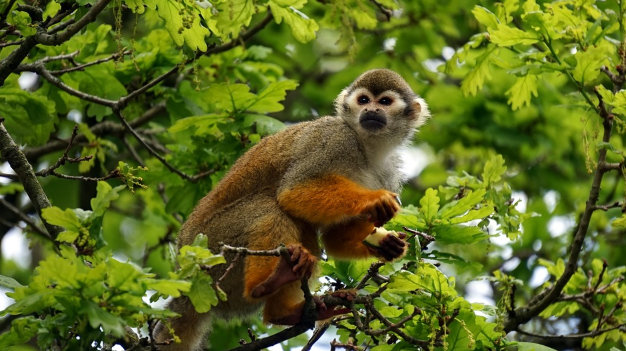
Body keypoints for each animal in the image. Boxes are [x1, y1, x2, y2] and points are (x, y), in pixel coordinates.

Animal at [156, 69, 428, 350]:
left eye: (384, 102)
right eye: (363, 100)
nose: (371, 110)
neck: (368, 148)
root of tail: (188, 279)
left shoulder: (390, 172)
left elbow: (334, 238)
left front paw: (386, 245)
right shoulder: (334, 138)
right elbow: (293, 191)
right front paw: (374, 200)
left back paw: (285, 311)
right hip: (211, 248)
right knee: (270, 207)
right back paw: (265, 284)